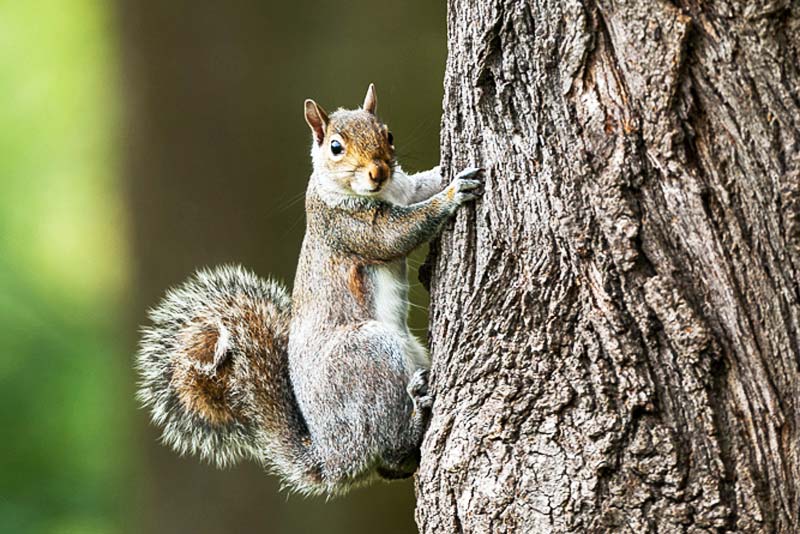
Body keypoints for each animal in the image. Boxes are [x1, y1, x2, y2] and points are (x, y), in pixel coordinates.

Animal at [137, 84, 482, 498]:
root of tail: (333, 458)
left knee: (393, 463)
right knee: (391, 444)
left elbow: (420, 185)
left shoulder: (404, 187)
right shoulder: (348, 227)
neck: (369, 192)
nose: (379, 172)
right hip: (367, 355)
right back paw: (417, 412)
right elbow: (395, 235)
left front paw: (446, 177)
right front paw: (454, 192)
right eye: (335, 147)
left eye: (388, 134)